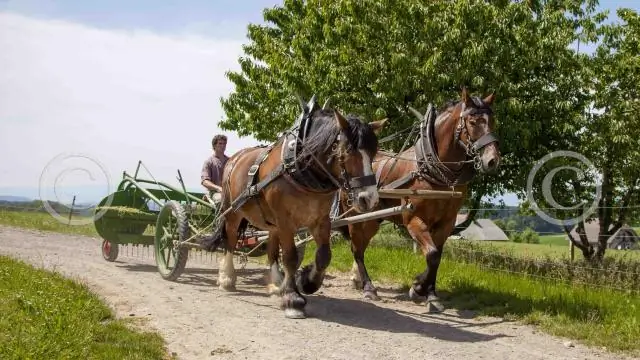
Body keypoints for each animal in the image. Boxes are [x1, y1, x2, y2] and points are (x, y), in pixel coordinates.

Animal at [200, 95, 388, 318]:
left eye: (374, 152)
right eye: (348, 150)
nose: (370, 198)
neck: (298, 168)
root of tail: (233, 159)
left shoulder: (320, 219)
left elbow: (324, 256)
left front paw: (307, 281)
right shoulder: (285, 221)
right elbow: (290, 257)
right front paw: (293, 299)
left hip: (271, 222)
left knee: (271, 251)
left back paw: (276, 284)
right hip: (233, 212)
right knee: (229, 240)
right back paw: (227, 278)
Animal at [336, 88, 500, 312]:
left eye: (492, 121)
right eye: (473, 121)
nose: (493, 160)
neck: (431, 170)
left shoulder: (447, 222)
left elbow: (437, 256)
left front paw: (429, 293)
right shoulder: (414, 219)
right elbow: (431, 254)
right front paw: (417, 288)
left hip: (373, 219)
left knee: (361, 246)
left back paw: (357, 279)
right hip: (356, 214)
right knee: (357, 249)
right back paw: (368, 287)